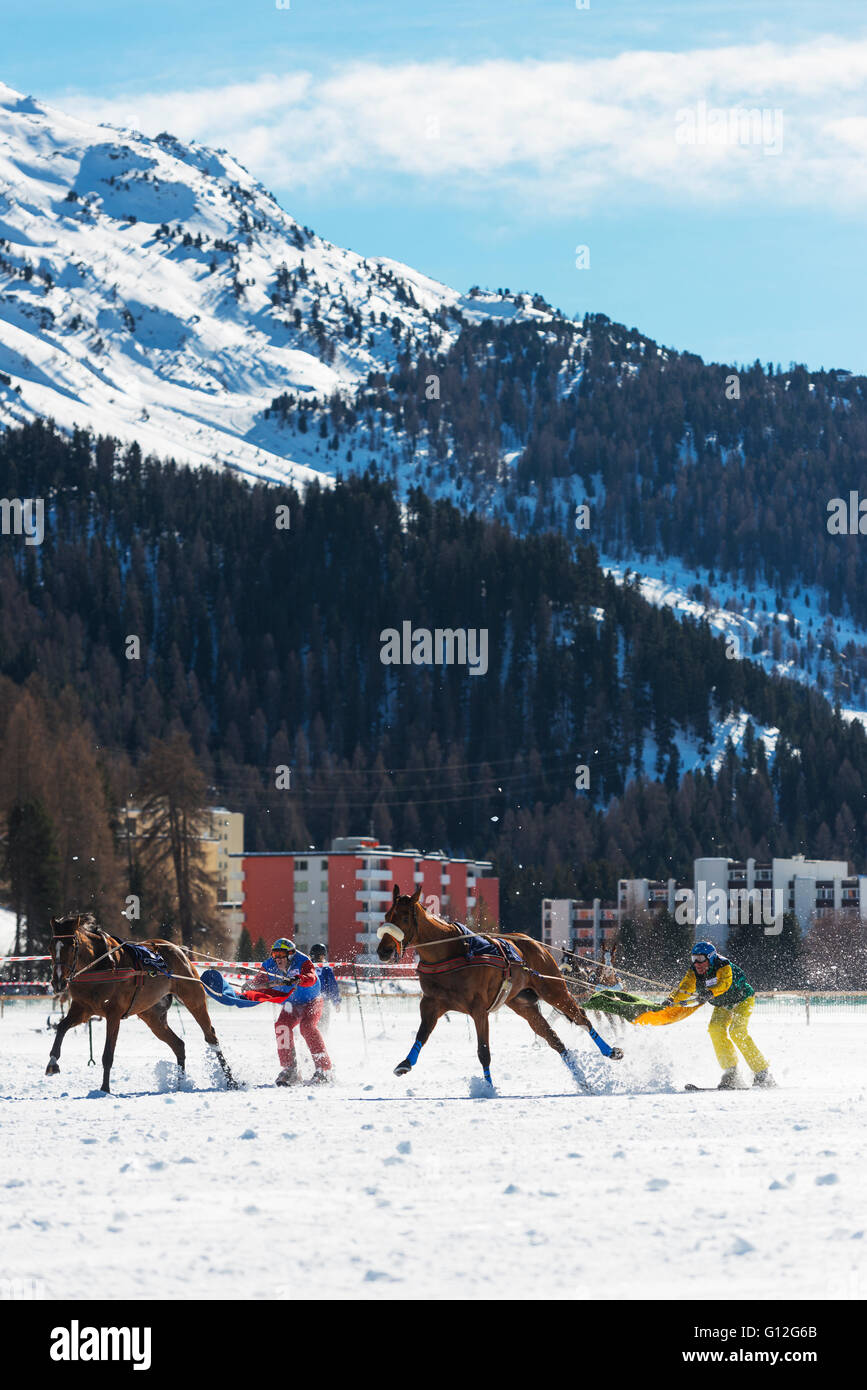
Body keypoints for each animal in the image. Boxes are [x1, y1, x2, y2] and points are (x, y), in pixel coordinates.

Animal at [45, 911, 234, 1095]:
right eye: (51, 947)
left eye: (71, 946)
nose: (58, 982)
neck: (102, 965)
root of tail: (178, 950)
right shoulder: (82, 1009)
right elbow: (61, 1027)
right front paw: (53, 1063)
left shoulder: (113, 1014)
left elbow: (108, 1055)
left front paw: (104, 1089)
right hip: (151, 1015)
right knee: (178, 1045)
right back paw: (180, 1084)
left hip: (193, 998)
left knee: (211, 1037)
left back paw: (231, 1080)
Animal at [377, 884, 622, 1089]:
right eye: (387, 916)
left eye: (405, 917)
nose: (383, 951)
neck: (451, 952)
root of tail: (535, 944)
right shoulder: (431, 1004)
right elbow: (422, 1035)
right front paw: (405, 1063)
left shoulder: (478, 1009)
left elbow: (483, 1051)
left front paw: (488, 1088)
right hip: (523, 1004)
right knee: (554, 1039)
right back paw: (581, 1078)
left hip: (553, 989)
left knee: (581, 1017)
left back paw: (611, 1051)